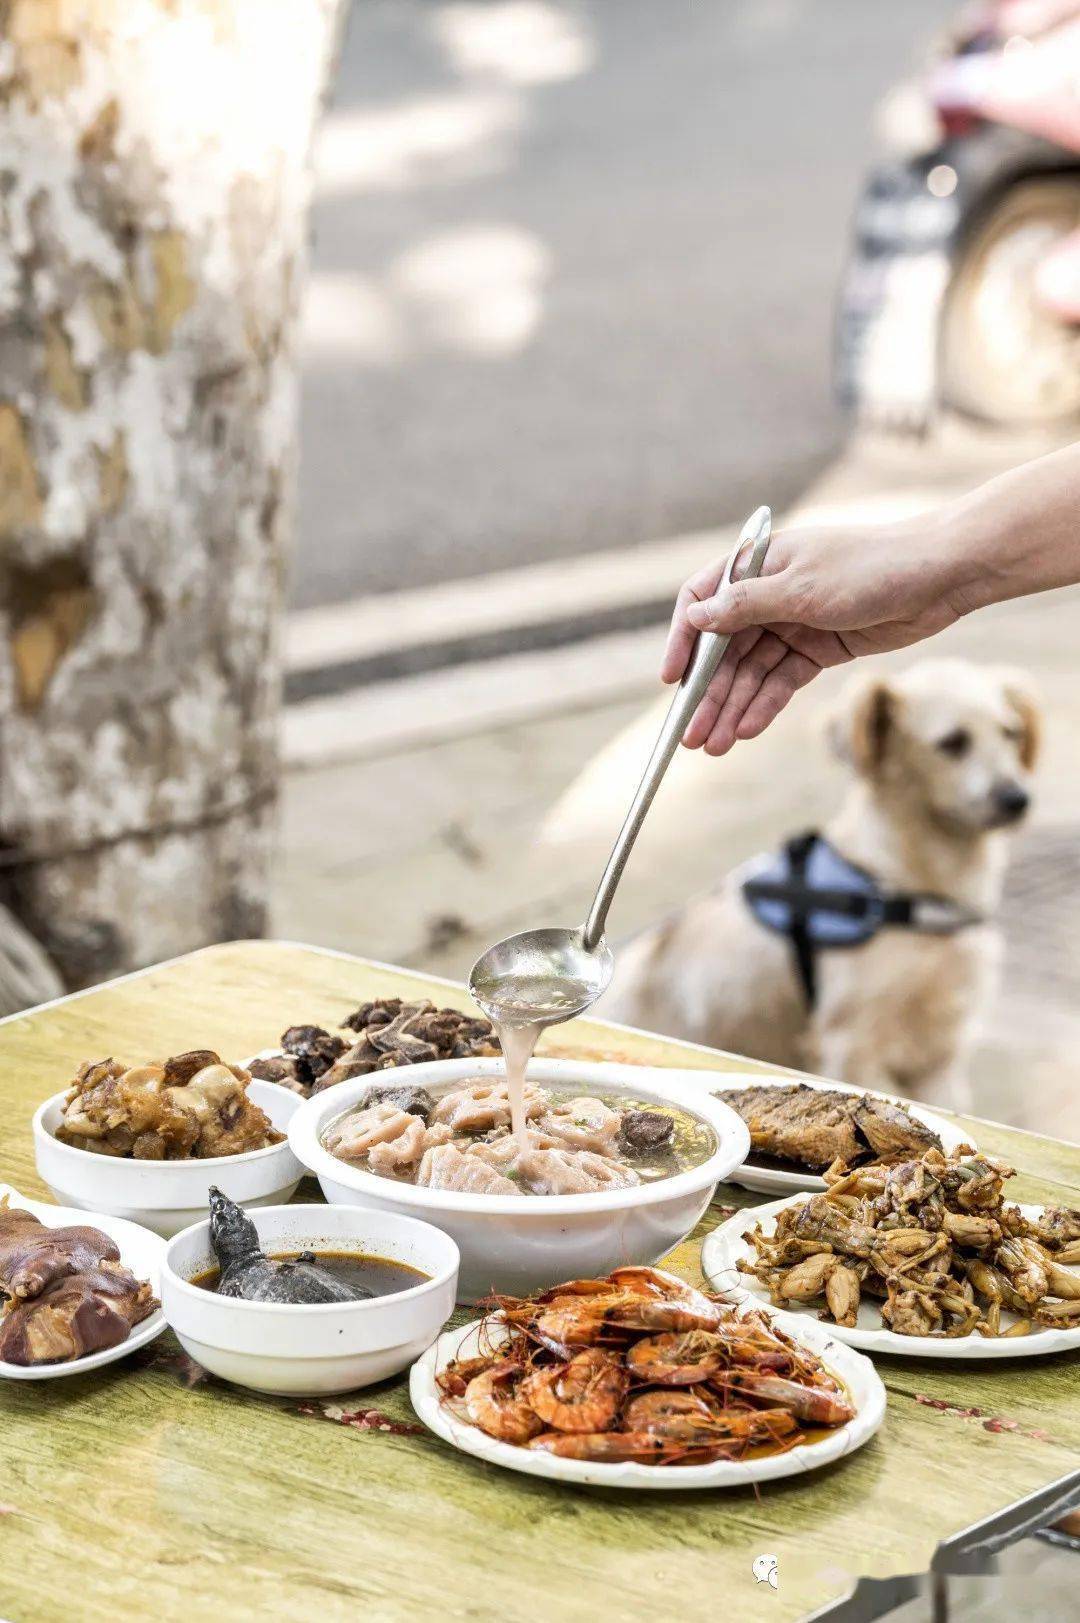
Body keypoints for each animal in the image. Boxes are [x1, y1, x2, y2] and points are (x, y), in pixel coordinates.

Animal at [600, 655, 1039, 1103]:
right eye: (952, 743)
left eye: (1011, 733)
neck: (911, 882)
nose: (1017, 799)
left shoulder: (938, 1059)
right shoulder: (851, 1044)